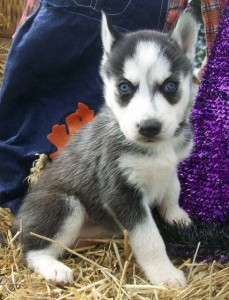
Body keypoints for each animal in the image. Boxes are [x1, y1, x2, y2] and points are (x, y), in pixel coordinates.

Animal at [13, 10, 197, 288]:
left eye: (170, 85)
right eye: (124, 87)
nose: (149, 127)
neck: (157, 148)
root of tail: (18, 219)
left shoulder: (171, 166)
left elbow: (173, 187)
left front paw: (175, 214)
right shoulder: (121, 192)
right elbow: (150, 239)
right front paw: (165, 274)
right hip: (65, 204)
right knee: (33, 249)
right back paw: (53, 268)